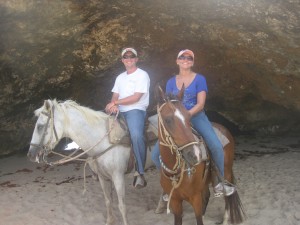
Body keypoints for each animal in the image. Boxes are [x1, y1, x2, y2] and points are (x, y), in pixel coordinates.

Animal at [27, 99, 157, 225]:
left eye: (40, 126)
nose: (31, 155)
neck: (104, 141)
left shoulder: (118, 177)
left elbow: (122, 206)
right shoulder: (102, 177)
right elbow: (108, 201)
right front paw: (110, 221)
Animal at [156, 86, 245, 225]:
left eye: (188, 117)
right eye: (168, 120)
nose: (195, 154)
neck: (175, 172)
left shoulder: (195, 197)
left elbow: (199, 218)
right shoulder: (175, 202)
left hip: (226, 172)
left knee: (227, 195)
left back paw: (225, 219)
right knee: (207, 194)